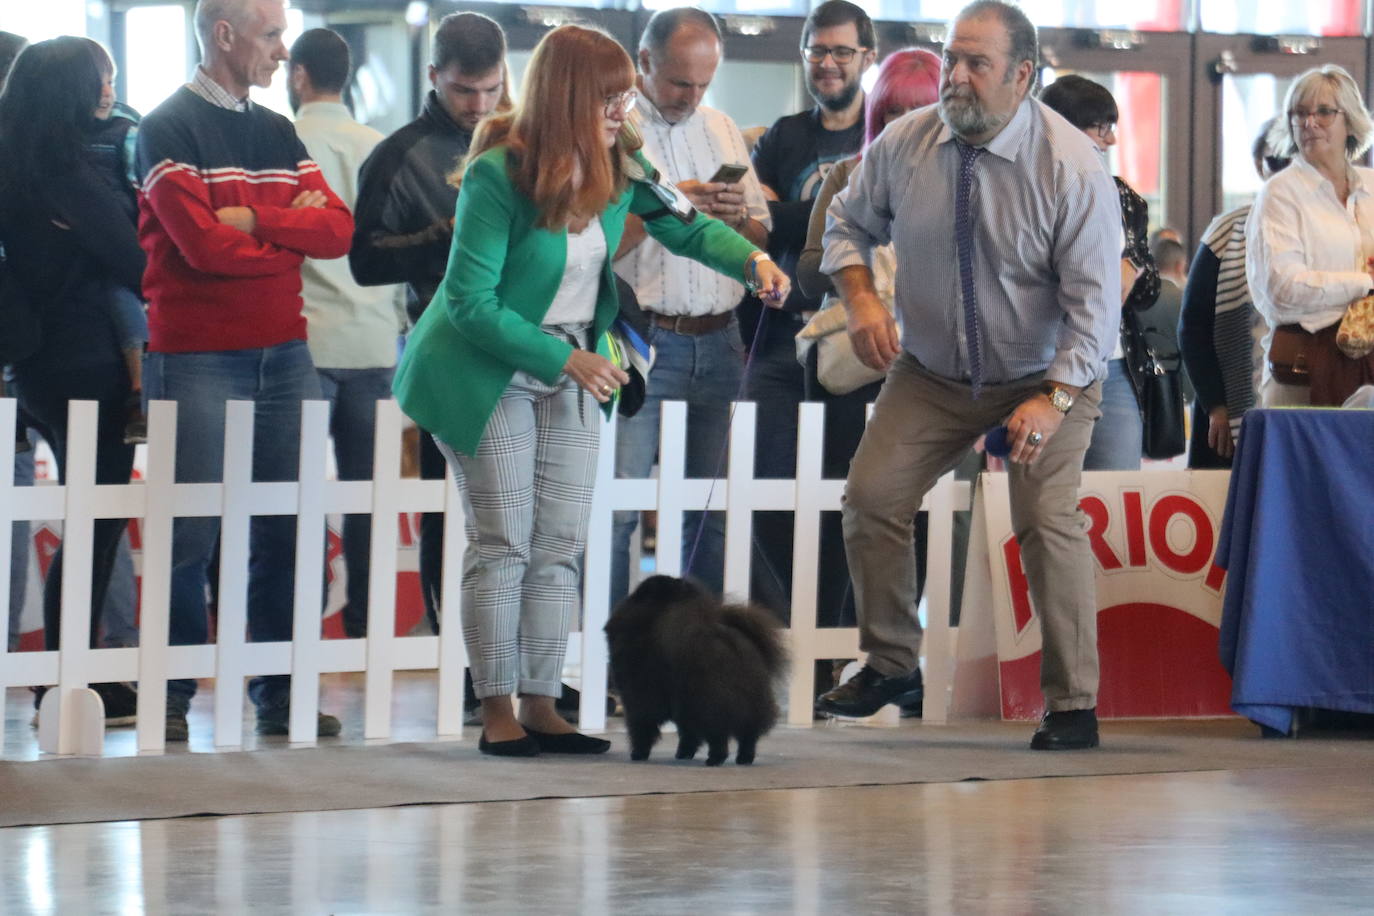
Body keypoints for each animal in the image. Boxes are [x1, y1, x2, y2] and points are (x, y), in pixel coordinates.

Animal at [604, 574, 785, 769]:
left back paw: (715, 759)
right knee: (747, 736)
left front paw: (639, 753)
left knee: (719, 737)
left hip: (708, 705)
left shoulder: (638, 699)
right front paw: (684, 752)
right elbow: (687, 734)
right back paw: (744, 758)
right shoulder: (681, 708)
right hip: (745, 705)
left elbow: (642, 730)